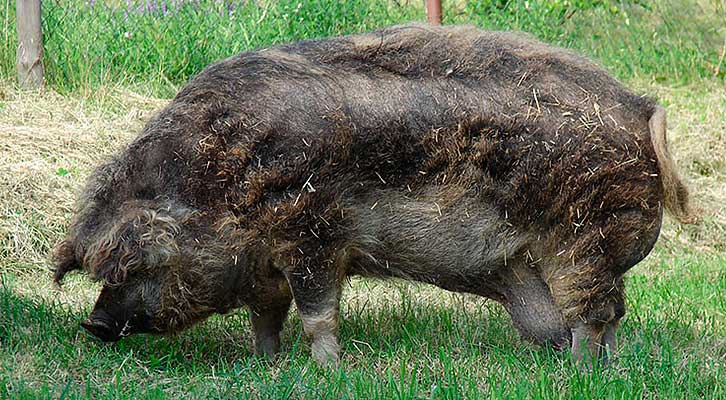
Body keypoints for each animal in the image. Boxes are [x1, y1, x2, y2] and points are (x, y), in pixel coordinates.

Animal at [51, 23, 692, 368]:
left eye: (141, 264)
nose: (93, 323)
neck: (222, 186)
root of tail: (643, 112)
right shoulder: (265, 268)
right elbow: (267, 317)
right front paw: (267, 364)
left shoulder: (314, 237)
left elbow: (318, 314)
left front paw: (328, 372)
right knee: (601, 316)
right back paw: (597, 366)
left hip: (586, 242)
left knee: (593, 314)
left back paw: (579, 371)